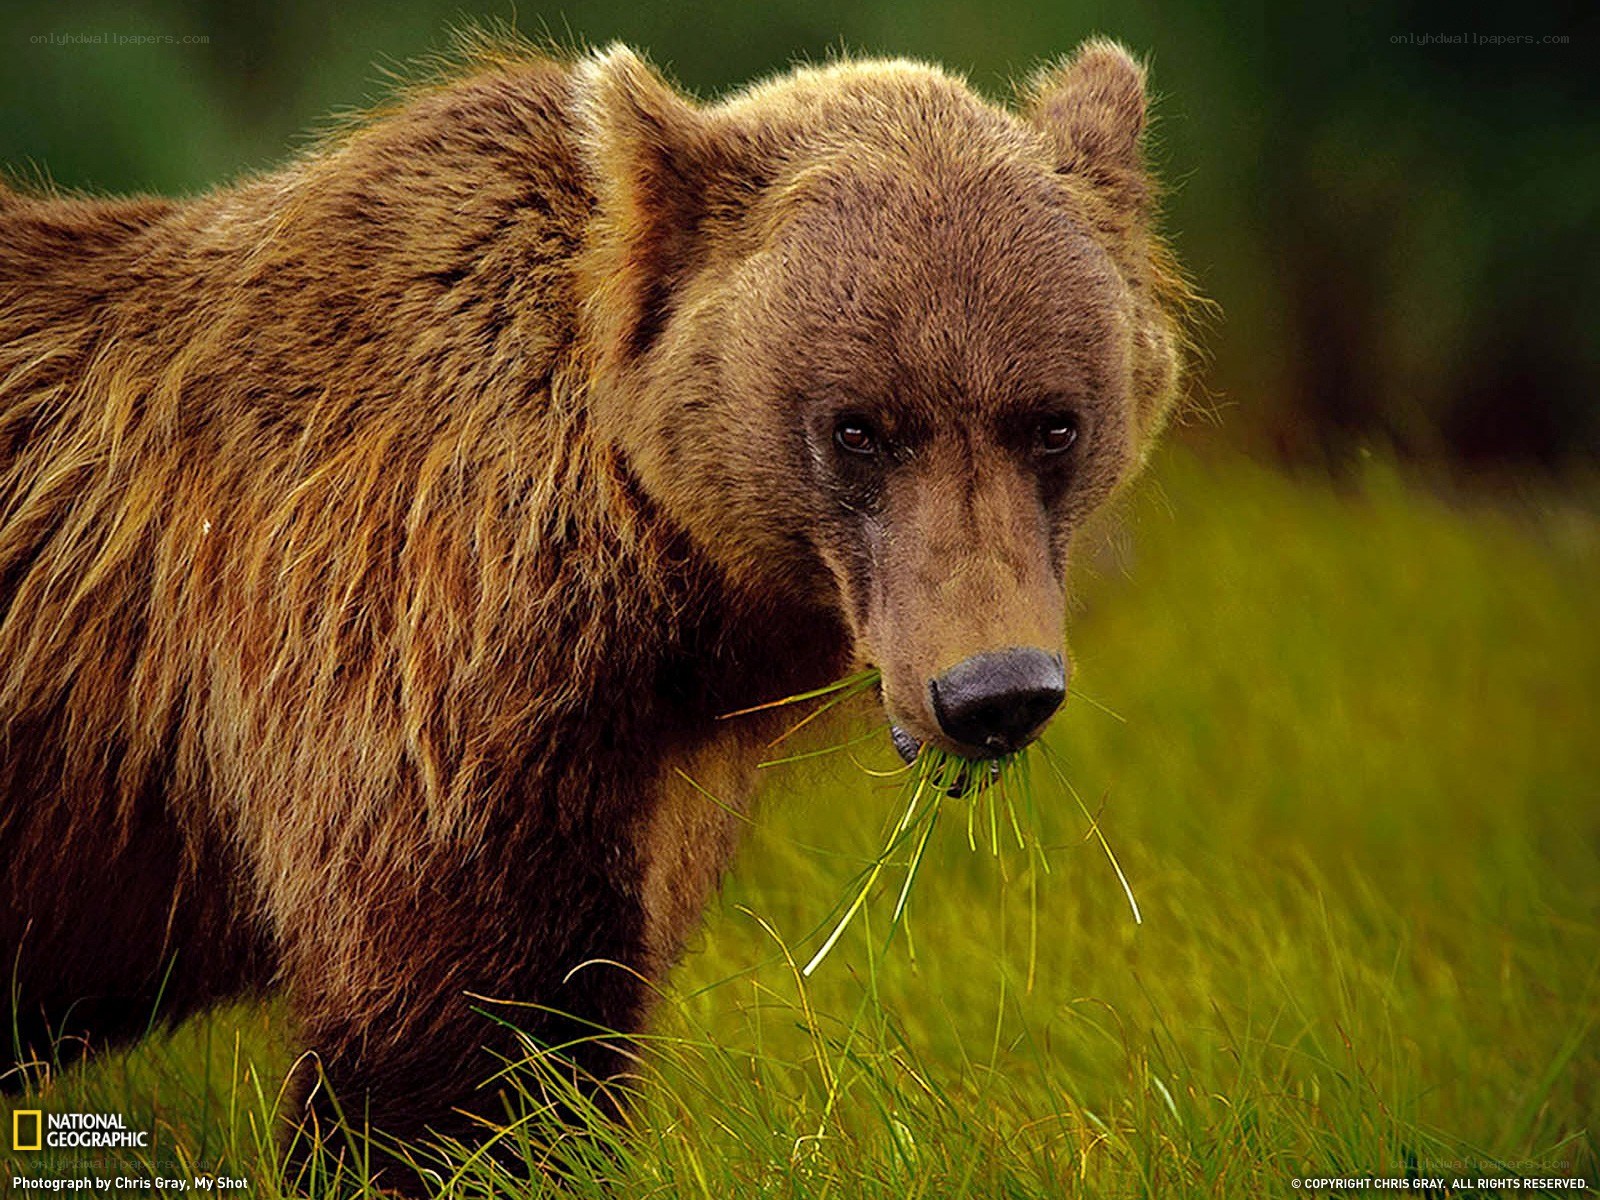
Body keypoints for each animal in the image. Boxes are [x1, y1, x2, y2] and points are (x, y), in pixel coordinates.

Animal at [0, 36, 1191, 1190]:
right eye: (859, 427)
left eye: (1052, 422)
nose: (993, 691)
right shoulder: (403, 655)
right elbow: (470, 1041)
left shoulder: (650, 776)